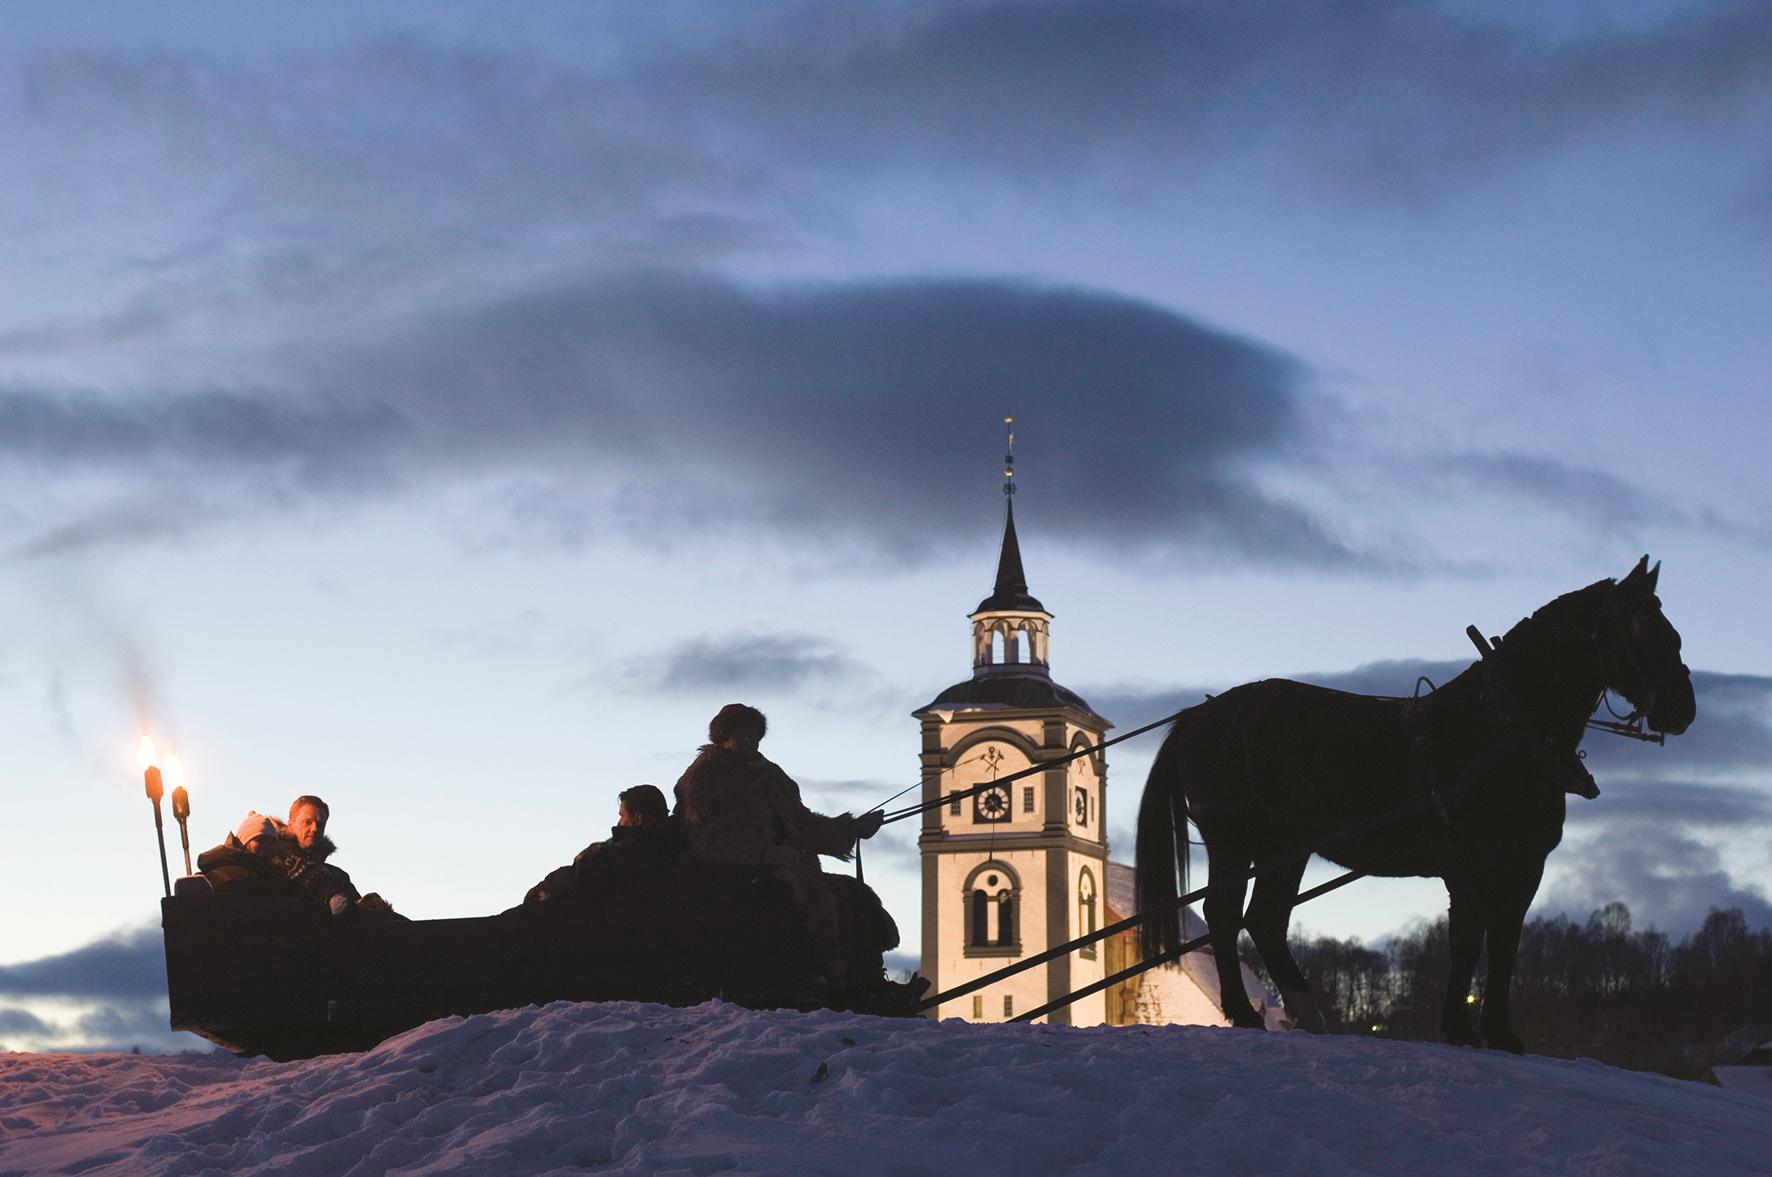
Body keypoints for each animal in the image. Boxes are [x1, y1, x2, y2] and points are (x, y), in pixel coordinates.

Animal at [1141, 556, 1694, 1049]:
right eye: (1647, 631)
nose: (1683, 709)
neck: (1503, 728)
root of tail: (1200, 714)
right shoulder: (1470, 866)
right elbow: (1467, 943)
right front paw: (1460, 1030)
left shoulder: (1523, 867)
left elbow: (1505, 945)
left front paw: (1500, 1034)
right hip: (1234, 841)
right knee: (1225, 913)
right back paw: (1243, 1012)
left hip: (1286, 848)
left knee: (1265, 919)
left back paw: (1308, 1015)